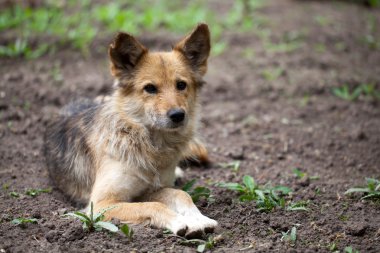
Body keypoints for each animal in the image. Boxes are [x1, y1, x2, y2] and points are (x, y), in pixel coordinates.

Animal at [44, 23, 217, 237]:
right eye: (150, 88)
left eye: (181, 85)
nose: (178, 115)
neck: (150, 145)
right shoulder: (100, 204)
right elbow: (153, 206)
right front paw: (179, 221)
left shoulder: (151, 190)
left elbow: (181, 194)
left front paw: (198, 218)